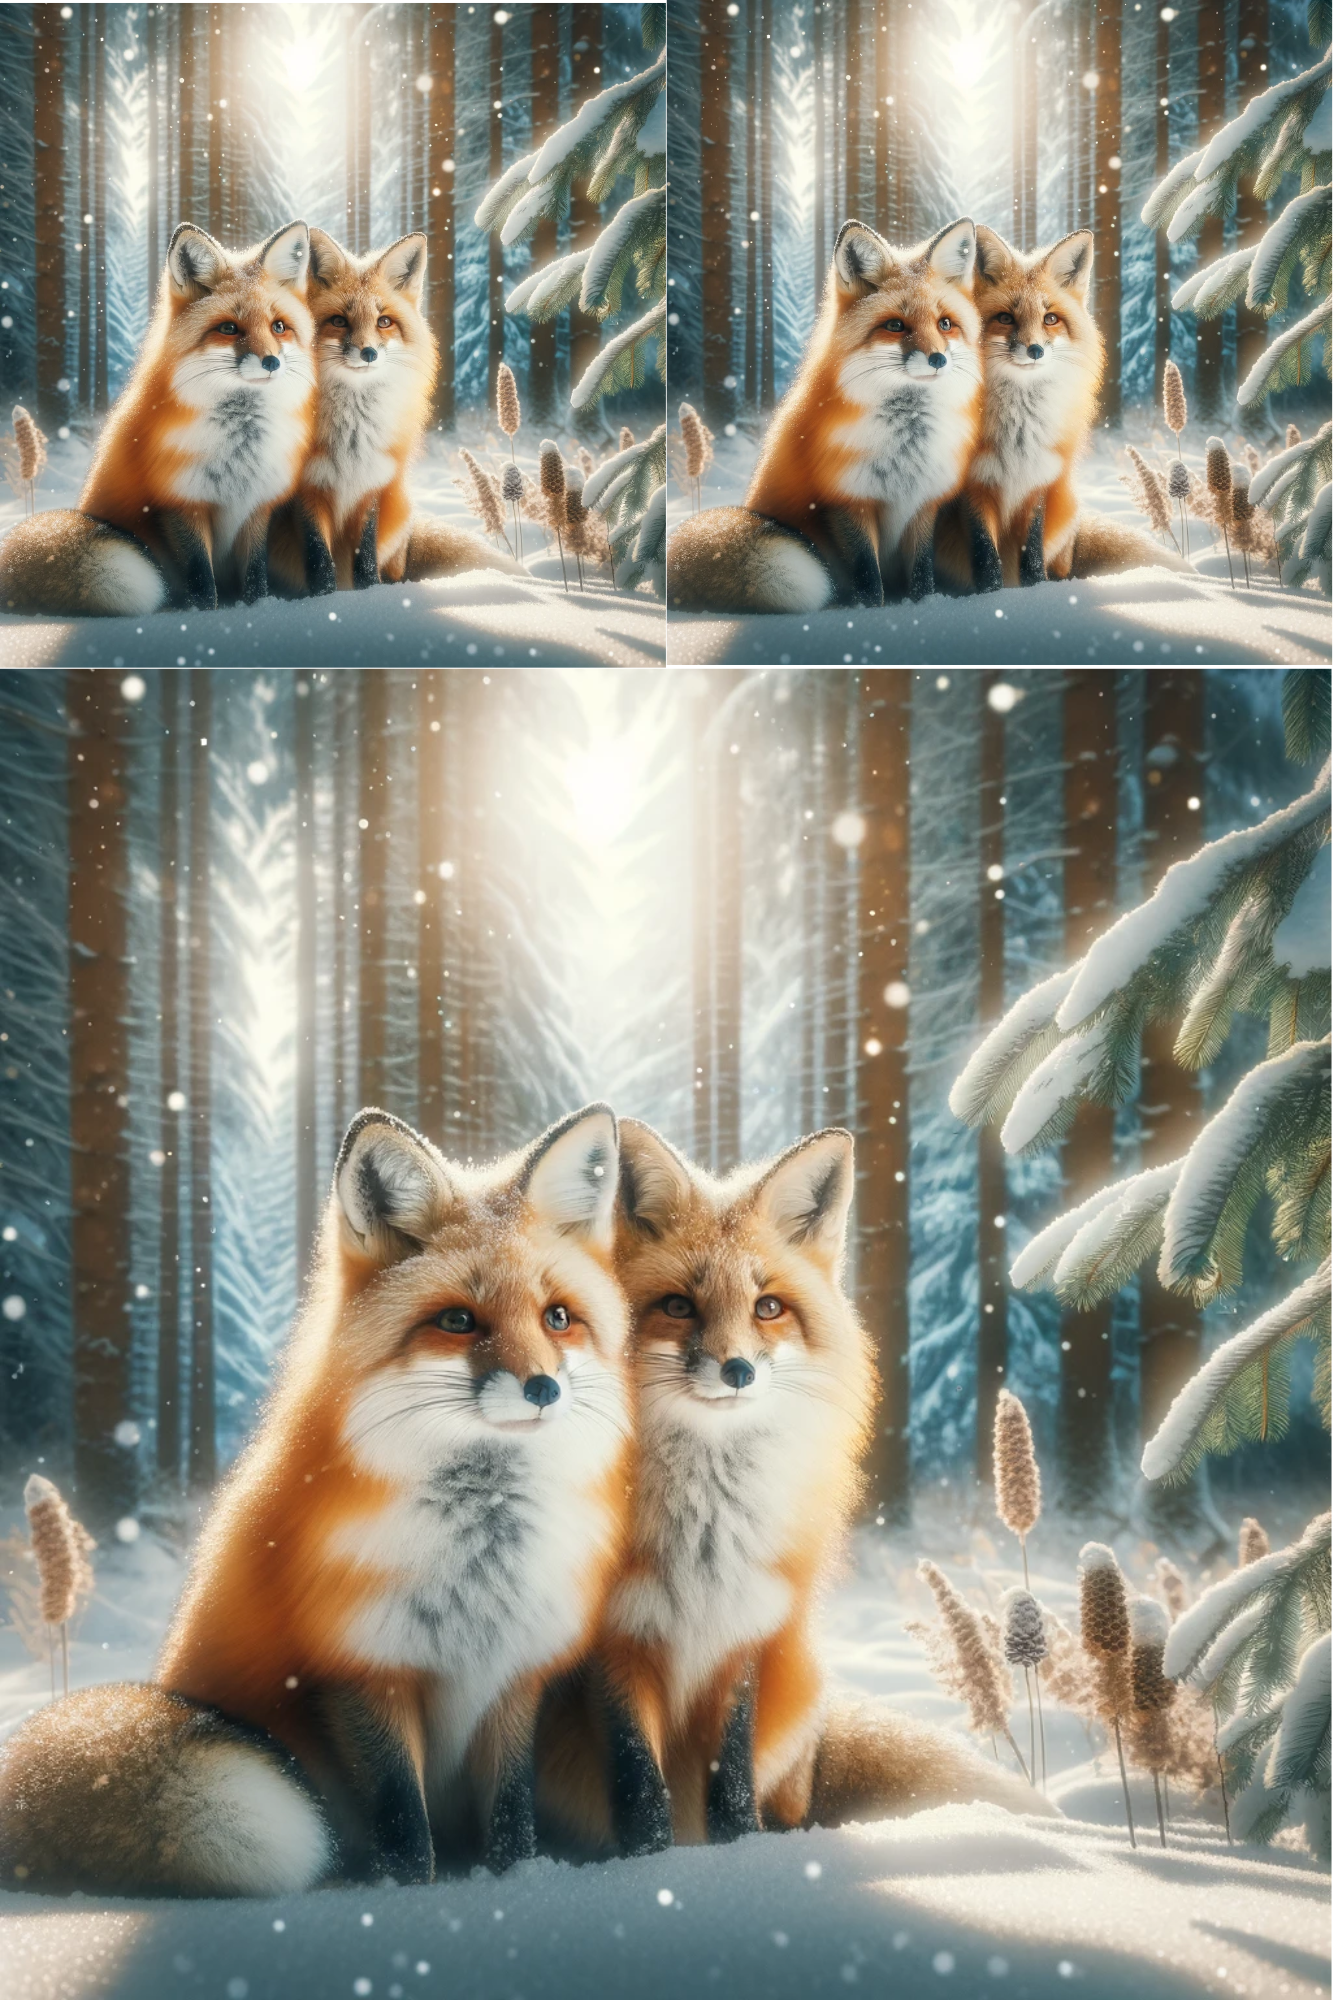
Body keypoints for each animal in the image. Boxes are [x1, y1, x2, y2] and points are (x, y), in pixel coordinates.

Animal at [0, 222, 316, 618]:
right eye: (229, 329)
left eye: (279, 327)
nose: (272, 362)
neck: (240, 452)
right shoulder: (179, 504)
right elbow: (200, 576)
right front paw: (204, 615)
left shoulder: (258, 506)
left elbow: (255, 574)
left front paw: (259, 610)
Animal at [0, 1104, 633, 1896]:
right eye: (458, 1321)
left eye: (558, 1318)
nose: (544, 1388)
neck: (479, 1569)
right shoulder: (358, 1673)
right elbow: (402, 1817)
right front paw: (406, 1894)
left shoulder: (516, 1677)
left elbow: (511, 1813)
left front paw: (520, 1882)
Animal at [536, 1122, 1047, 1857]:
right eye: (677, 1306)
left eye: (768, 1307)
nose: (738, 1370)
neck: (704, 1540)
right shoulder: (615, 1648)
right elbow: (640, 1785)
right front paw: (650, 1866)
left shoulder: (748, 1632)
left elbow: (731, 1780)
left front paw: (746, 1857)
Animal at [666, 218, 984, 614]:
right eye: (895, 326)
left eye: (945, 324)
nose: (938, 359)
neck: (906, 449)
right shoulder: (846, 501)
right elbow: (868, 573)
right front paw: (870, 612)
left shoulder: (924, 503)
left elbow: (922, 571)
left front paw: (926, 606)